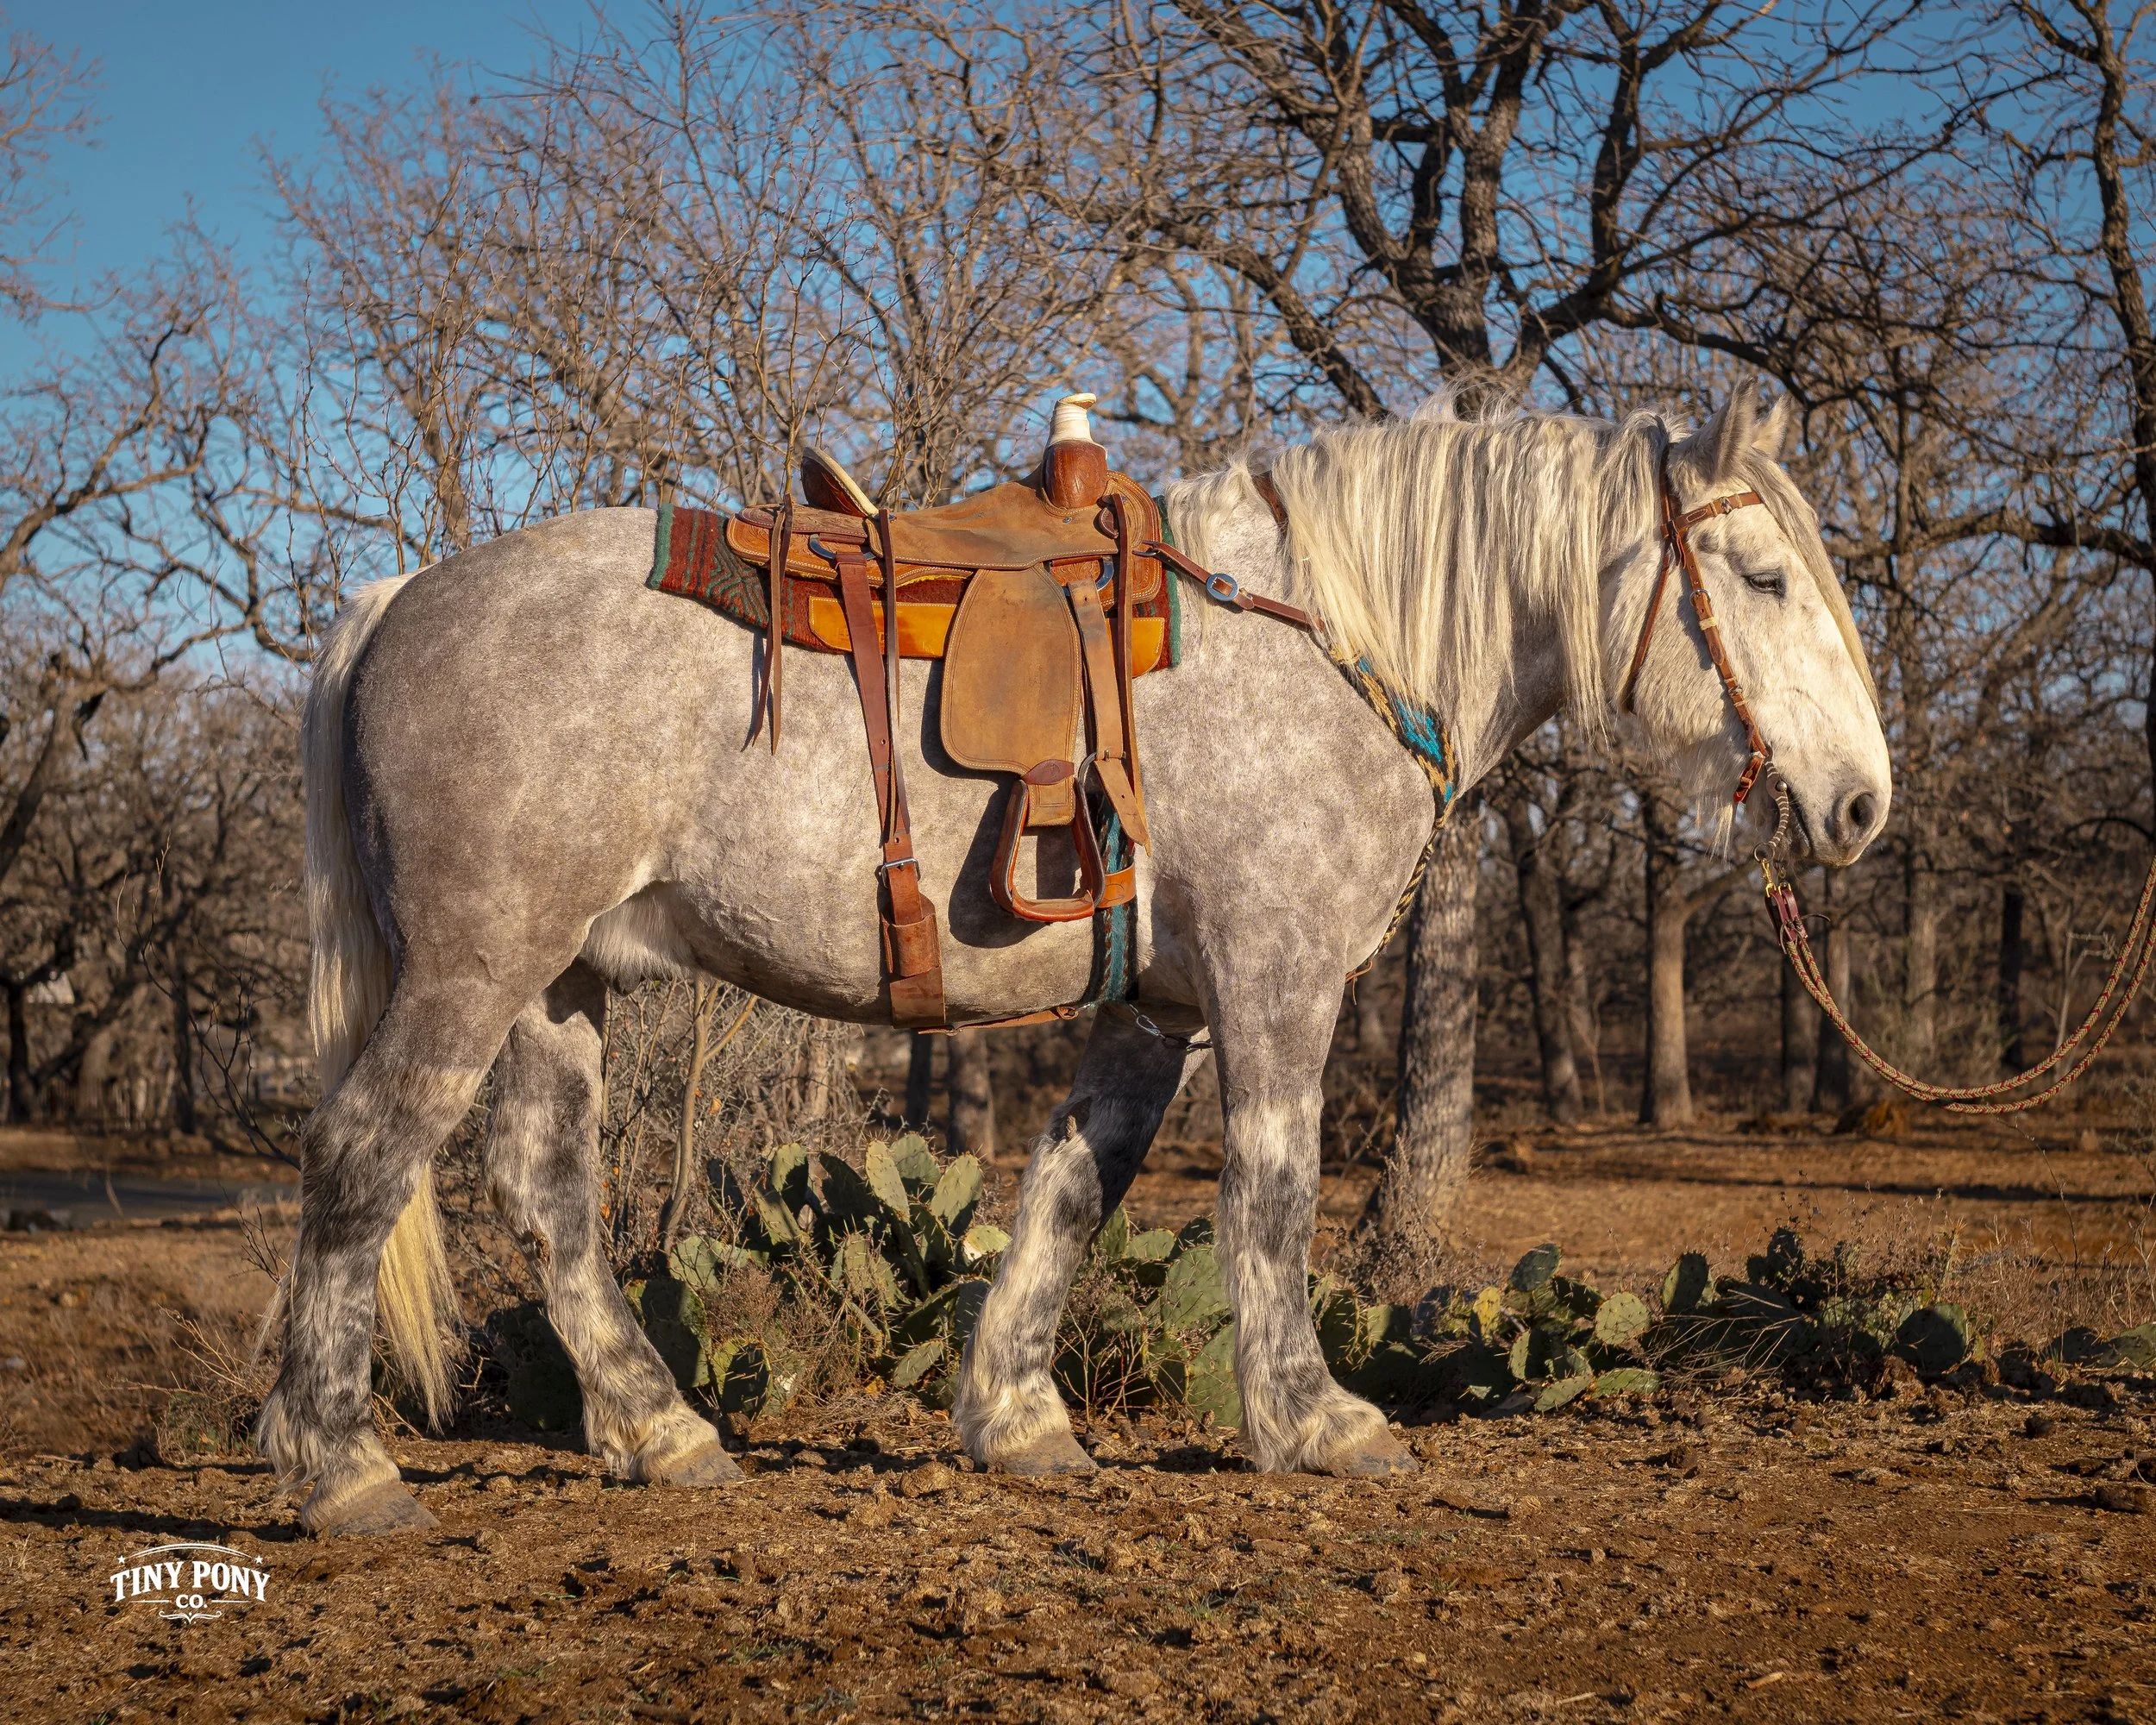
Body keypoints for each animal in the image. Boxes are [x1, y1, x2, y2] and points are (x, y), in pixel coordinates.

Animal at [256, 387, 1889, 1537]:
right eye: (1758, 577)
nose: (1864, 803)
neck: (1326, 639)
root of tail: (399, 599)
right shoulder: (1276, 986)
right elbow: (1272, 1202)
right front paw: (1313, 1421)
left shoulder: (1155, 1017)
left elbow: (1069, 1191)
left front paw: (1019, 1419)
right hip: (474, 972)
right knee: (362, 1157)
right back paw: (343, 1466)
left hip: (559, 987)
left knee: (549, 1199)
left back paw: (659, 1434)